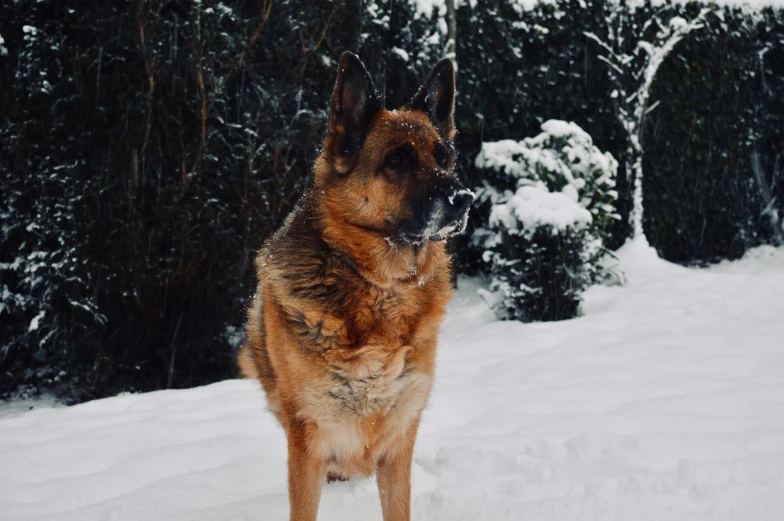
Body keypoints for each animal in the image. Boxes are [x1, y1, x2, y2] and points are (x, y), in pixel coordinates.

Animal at [237, 51, 472, 520]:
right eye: (396, 161)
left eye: (444, 157)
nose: (465, 199)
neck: (382, 286)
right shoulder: (309, 442)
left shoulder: (399, 441)